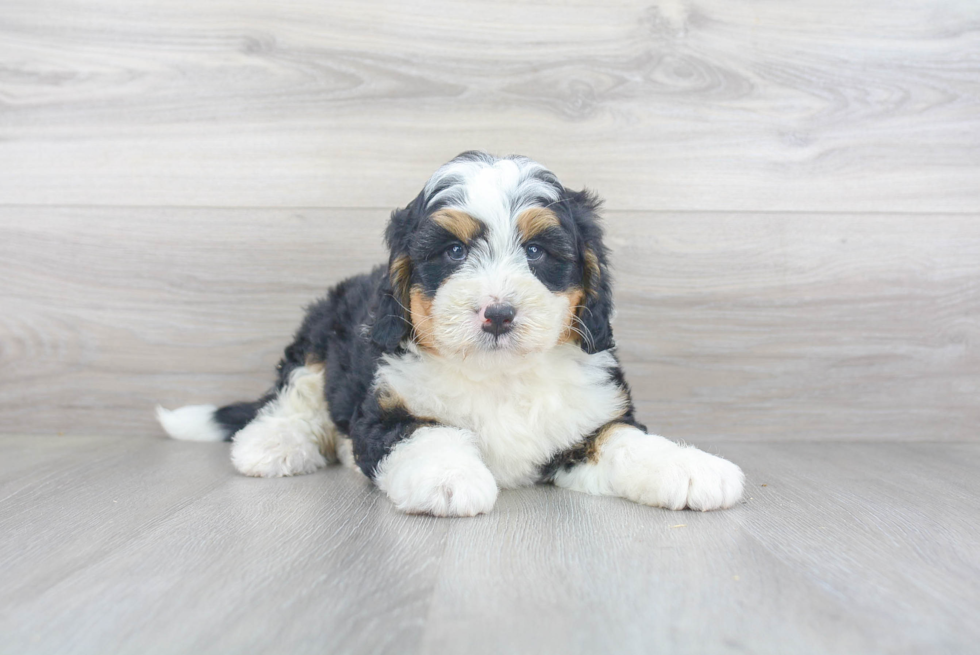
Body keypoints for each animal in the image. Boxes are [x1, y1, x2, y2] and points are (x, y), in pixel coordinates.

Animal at [159, 151, 744, 516]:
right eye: (455, 251)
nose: (498, 313)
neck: (500, 375)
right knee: (296, 392)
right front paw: (449, 478)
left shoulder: (586, 422)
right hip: (321, 330)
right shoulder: (387, 408)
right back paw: (272, 444)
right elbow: (427, 433)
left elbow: (623, 441)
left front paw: (688, 468)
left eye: (537, 251)